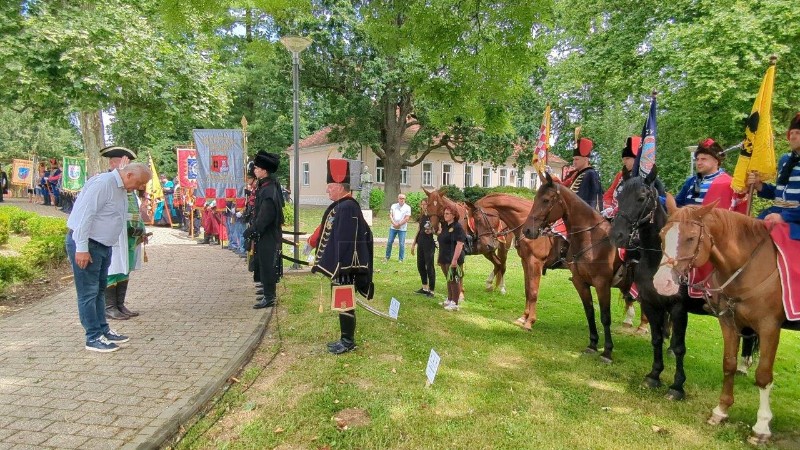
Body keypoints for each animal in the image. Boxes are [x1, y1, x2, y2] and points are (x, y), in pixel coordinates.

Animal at [462, 193, 564, 330]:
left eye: (478, 218)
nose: (485, 245)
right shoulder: (525, 262)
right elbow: (527, 289)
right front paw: (523, 318)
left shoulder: (535, 262)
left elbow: (533, 292)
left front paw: (530, 321)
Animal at [524, 172, 632, 362]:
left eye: (545, 200)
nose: (528, 230)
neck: (591, 238)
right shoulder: (580, 282)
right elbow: (589, 312)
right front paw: (593, 344)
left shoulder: (602, 284)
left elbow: (605, 316)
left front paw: (607, 351)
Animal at [648, 202, 800, 444]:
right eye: (662, 235)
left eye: (691, 238)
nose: (662, 283)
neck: (749, 266)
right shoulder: (728, 322)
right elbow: (728, 364)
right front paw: (721, 411)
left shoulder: (769, 327)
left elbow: (763, 375)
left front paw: (761, 427)